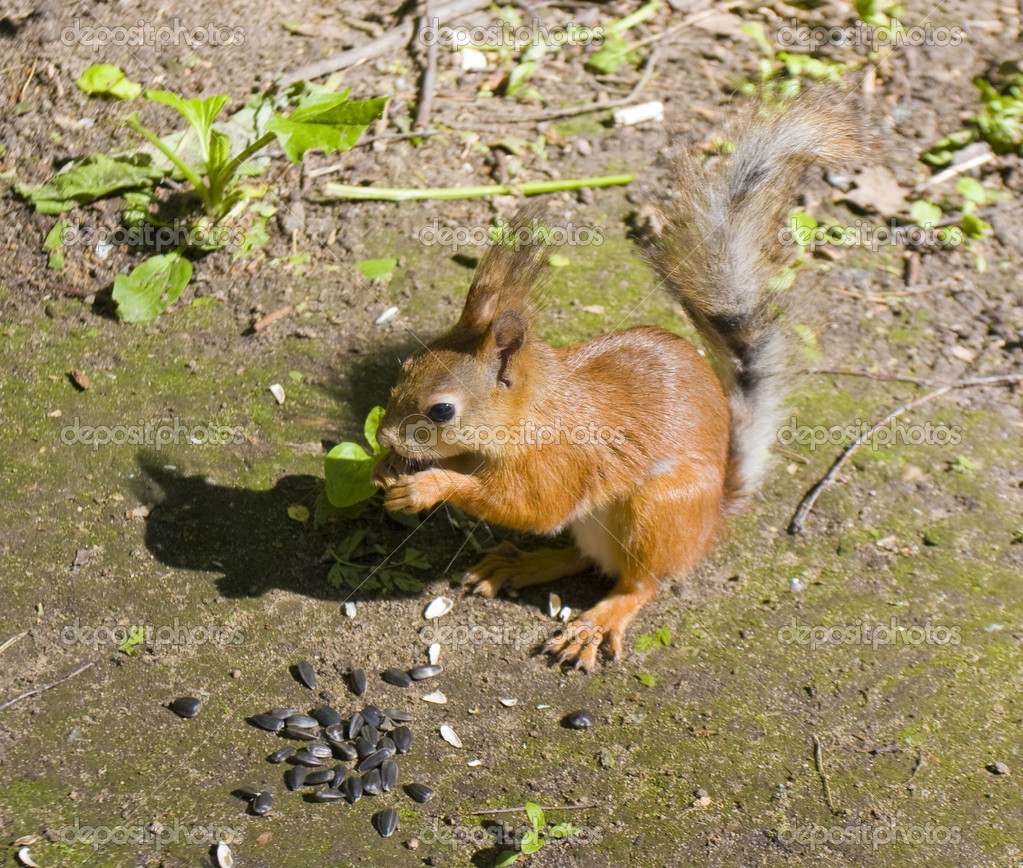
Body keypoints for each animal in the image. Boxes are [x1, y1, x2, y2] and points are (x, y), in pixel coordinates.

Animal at [372, 91, 874, 671]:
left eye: (442, 410)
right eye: (404, 368)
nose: (383, 437)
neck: (534, 413)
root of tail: (709, 525)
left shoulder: (560, 461)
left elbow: (529, 506)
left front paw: (428, 486)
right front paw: (388, 466)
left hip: (658, 510)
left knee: (639, 583)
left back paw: (595, 622)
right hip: (599, 526)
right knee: (585, 557)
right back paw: (522, 565)